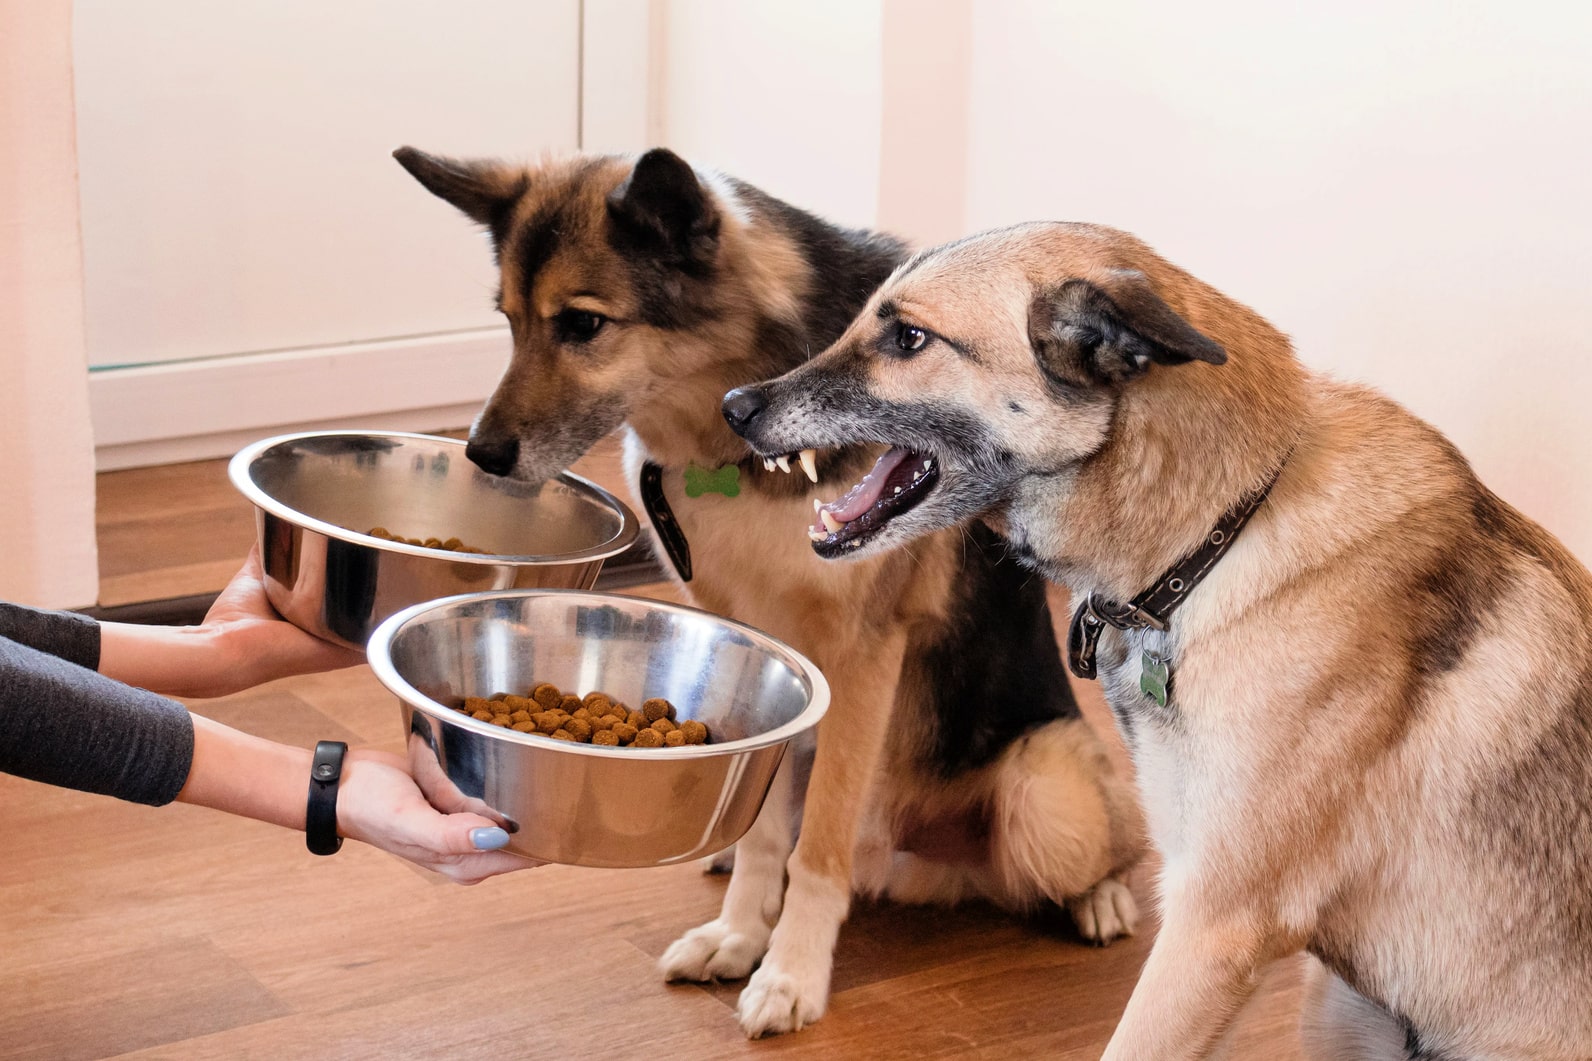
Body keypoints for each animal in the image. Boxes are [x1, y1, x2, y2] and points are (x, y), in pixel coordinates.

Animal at [394, 150, 1146, 1032]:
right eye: (508, 319)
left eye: (581, 325)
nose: (480, 454)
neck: (730, 442)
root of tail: (920, 866)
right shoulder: (766, 656)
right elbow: (765, 833)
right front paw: (738, 933)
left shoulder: (861, 660)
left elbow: (817, 845)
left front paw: (790, 972)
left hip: (1043, 794)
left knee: (1114, 843)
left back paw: (1100, 898)